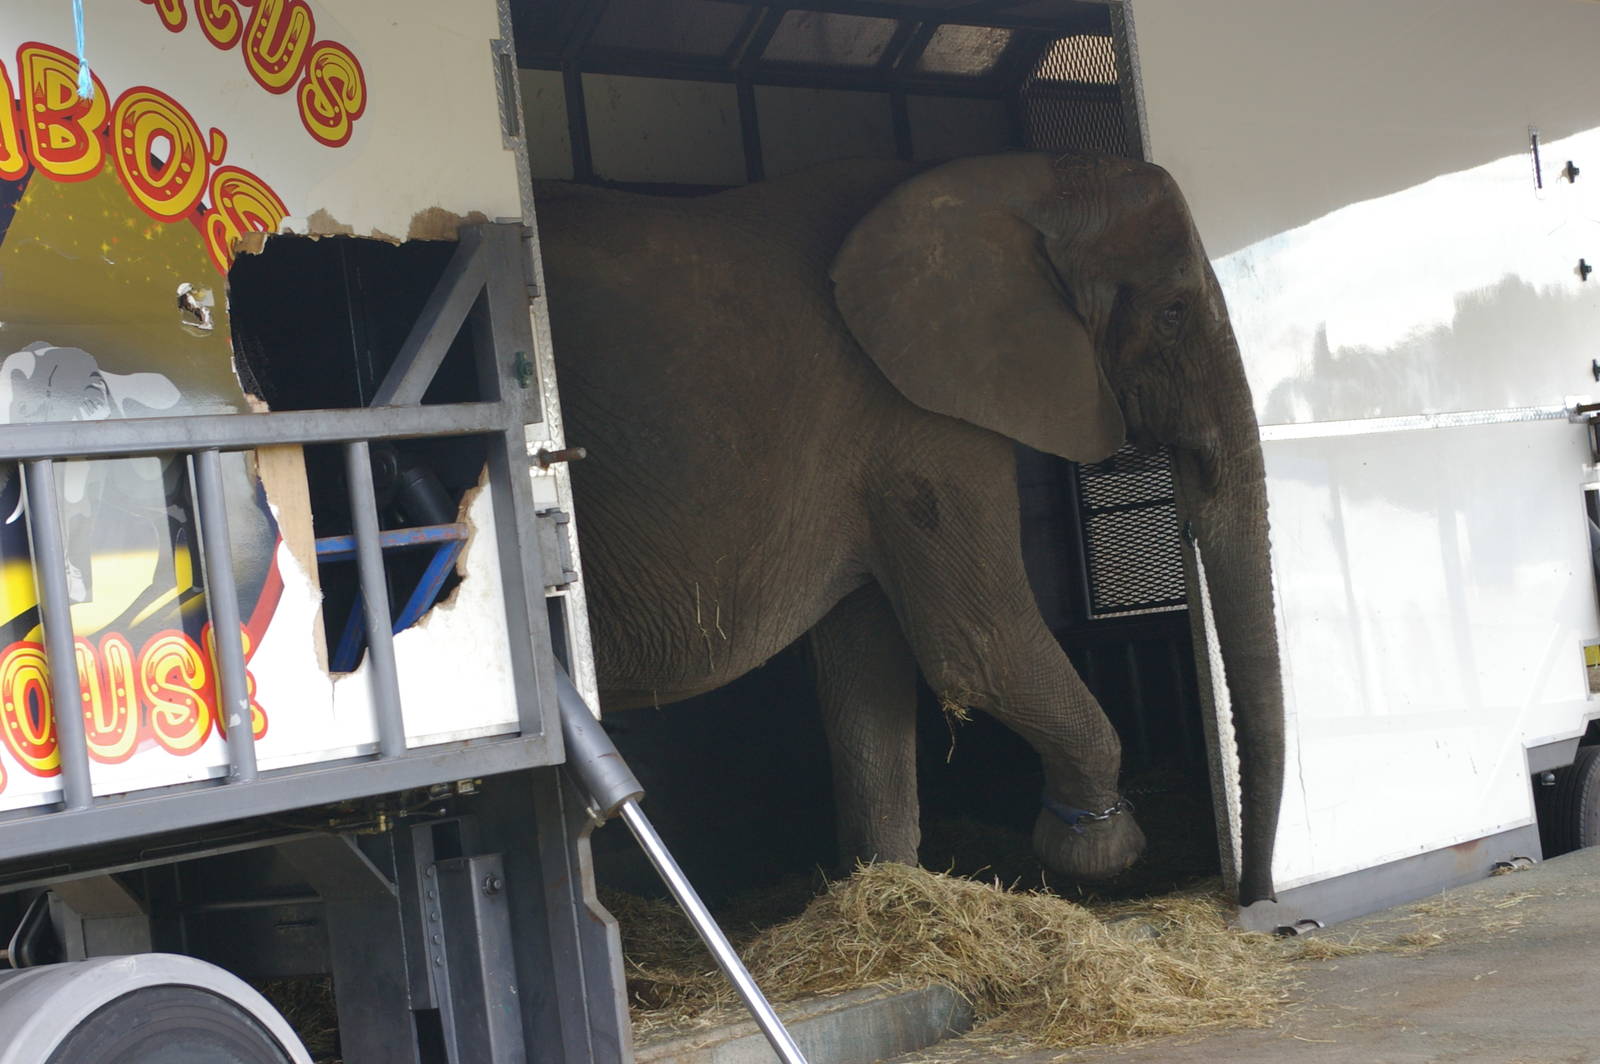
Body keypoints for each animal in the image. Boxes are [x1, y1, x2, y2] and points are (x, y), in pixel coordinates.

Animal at [535, 150, 1285, 905]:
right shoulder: (920, 412)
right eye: (1172, 313)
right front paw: (1099, 850)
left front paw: (885, 885)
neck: (1021, 180)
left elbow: (868, 667)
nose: (1255, 899)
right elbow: (979, 644)